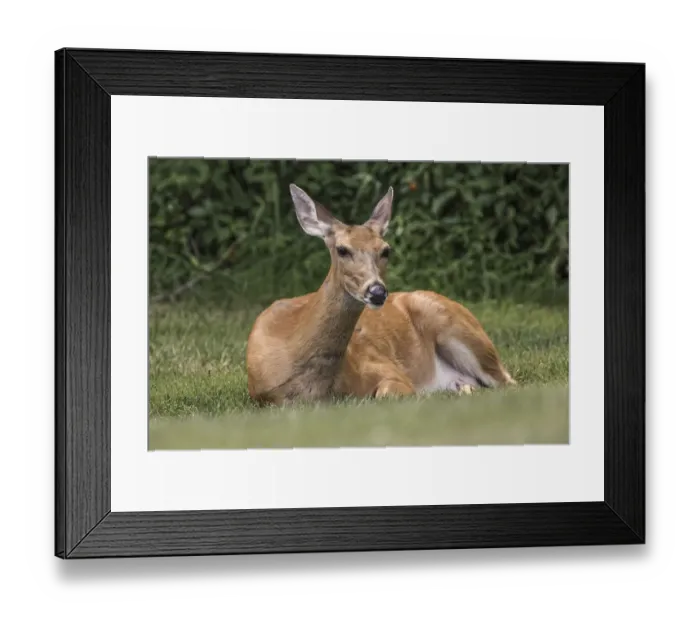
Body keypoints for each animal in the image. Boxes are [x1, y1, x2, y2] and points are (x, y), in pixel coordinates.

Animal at [246, 184, 516, 406]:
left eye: (386, 250)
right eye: (342, 250)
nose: (376, 291)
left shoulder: (389, 371)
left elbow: (385, 393)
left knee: (508, 383)